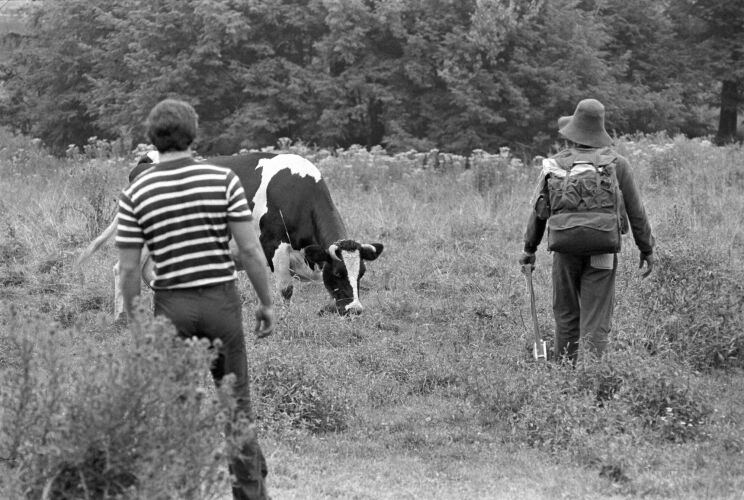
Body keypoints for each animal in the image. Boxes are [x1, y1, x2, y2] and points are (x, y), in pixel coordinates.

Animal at [140, 153, 384, 316]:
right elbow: (286, 289)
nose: (355, 309)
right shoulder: (273, 244)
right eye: (337, 273)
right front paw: (286, 319)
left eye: (361, 273)